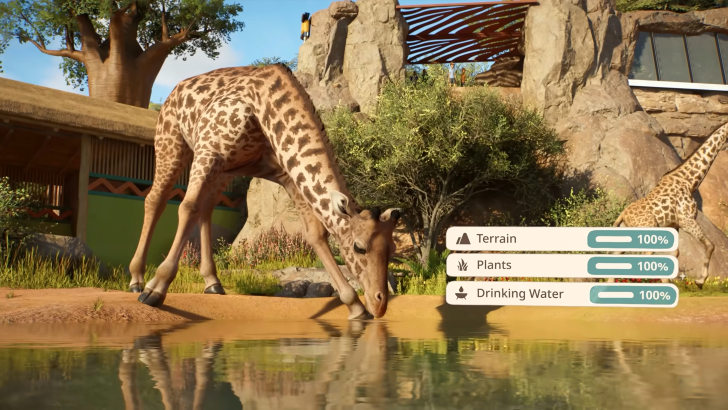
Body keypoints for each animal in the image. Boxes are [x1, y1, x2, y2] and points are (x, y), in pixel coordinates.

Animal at [127, 63, 401, 319]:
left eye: (392, 249)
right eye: (359, 247)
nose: (380, 303)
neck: (267, 112)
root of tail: (176, 89)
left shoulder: (287, 176)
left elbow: (315, 234)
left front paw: (355, 307)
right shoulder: (209, 150)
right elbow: (187, 206)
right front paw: (155, 289)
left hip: (225, 169)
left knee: (206, 208)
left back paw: (213, 283)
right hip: (172, 141)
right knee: (157, 199)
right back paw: (137, 281)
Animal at [608, 121, 728, 289]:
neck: (690, 181)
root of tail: (622, 216)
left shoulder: (674, 225)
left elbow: (675, 254)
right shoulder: (687, 220)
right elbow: (710, 245)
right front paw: (699, 281)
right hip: (648, 231)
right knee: (645, 256)